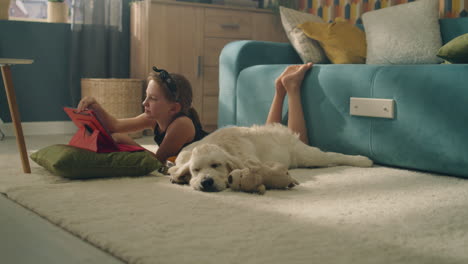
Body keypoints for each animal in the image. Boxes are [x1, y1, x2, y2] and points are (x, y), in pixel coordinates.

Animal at [168, 124, 372, 192]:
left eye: (216, 165)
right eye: (195, 170)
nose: (206, 182)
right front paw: (176, 176)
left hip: (309, 155)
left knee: (334, 155)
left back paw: (363, 160)